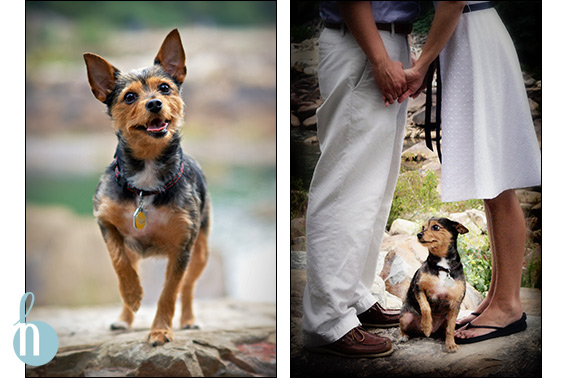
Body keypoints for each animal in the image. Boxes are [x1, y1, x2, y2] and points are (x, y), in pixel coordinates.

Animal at [82, 28, 211, 346]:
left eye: (165, 88)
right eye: (129, 97)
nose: (154, 103)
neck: (146, 178)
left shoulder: (183, 247)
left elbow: (170, 292)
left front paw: (161, 331)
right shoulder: (105, 222)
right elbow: (119, 263)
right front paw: (133, 295)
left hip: (201, 251)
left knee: (188, 287)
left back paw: (188, 319)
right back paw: (124, 318)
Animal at [398, 217, 468, 352]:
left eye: (435, 227)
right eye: (423, 227)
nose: (419, 234)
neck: (443, 267)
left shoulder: (456, 303)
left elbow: (451, 328)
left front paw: (451, 344)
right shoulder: (418, 288)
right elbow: (426, 307)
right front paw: (426, 326)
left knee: (446, 329)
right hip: (406, 317)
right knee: (402, 327)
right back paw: (405, 335)